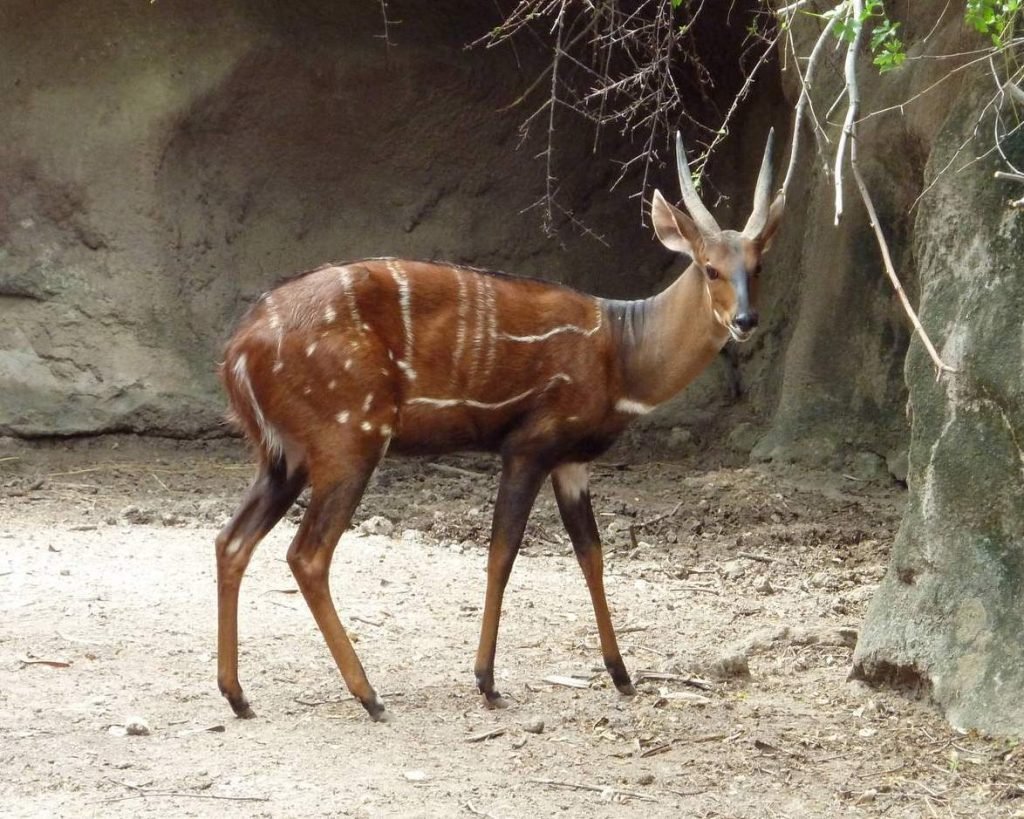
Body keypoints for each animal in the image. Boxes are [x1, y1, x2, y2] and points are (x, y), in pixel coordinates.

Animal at [216, 131, 782, 720]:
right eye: (709, 267)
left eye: (758, 264)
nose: (745, 321)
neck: (623, 352)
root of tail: (237, 351)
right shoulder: (529, 446)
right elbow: (502, 555)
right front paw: (487, 682)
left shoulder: (571, 461)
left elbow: (592, 554)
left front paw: (622, 675)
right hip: (350, 439)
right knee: (306, 555)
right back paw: (369, 696)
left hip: (284, 457)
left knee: (231, 541)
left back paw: (238, 695)